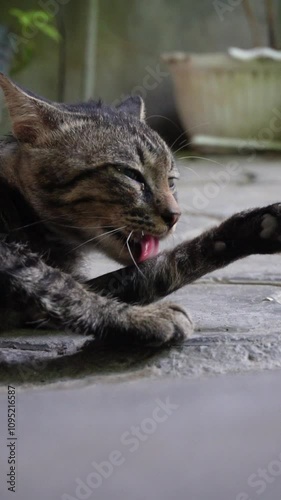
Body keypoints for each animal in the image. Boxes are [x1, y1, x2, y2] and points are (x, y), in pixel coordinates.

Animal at [0, 73, 280, 344]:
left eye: (170, 181)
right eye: (130, 174)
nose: (175, 216)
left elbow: (156, 268)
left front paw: (250, 230)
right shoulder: (12, 259)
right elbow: (61, 286)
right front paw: (141, 318)